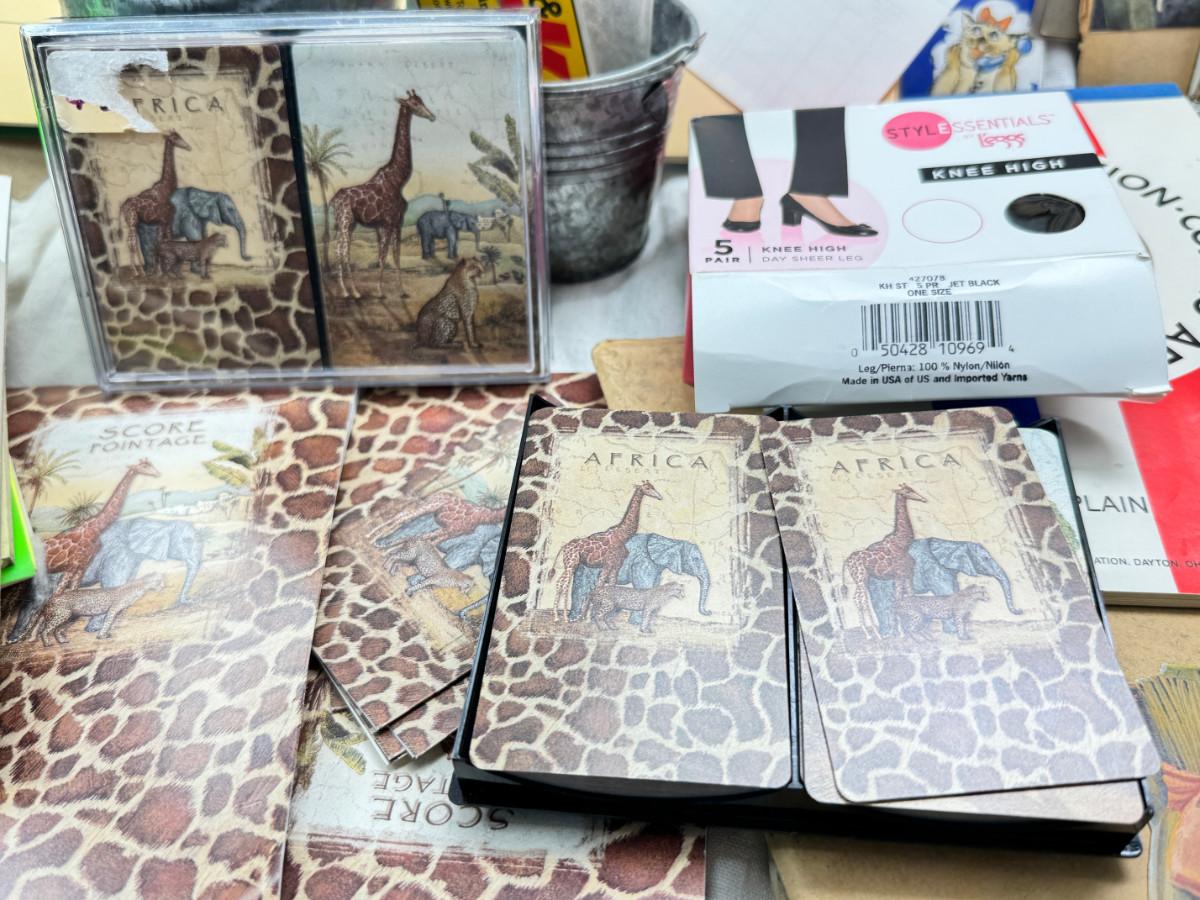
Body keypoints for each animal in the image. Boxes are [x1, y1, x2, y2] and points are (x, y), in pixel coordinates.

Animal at [9, 458, 162, 643]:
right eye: (145, 466)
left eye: (150, 464)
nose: (157, 473)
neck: (95, 528)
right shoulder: (72, 566)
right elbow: (58, 595)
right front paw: (40, 636)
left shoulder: (82, 566)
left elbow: (72, 592)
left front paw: (61, 633)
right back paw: (21, 637)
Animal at [118, 130, 191, 276]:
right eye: (175, 138)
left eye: (179, 135)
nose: (188, 146)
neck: (167, 190)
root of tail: (123, 206)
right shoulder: (165, 221)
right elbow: (165, 241)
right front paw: (164, 271)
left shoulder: (162, 223)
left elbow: (160, 242)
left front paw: (160, 270)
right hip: (132, 221)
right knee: (131, 242)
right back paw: (136, 271)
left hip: (134, 222)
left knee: (133, 242)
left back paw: (142, 270)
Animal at [329, 90, 435, 301]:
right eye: (415, 104)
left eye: (421, 101)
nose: (431, 116)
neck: (398, 180)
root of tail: (333, 201)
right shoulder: (388, 222)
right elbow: (384, 255)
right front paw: (380, 291)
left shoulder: (395, 222)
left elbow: (394, 255)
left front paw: (402, 291)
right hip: (345, 222)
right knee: (342, 250)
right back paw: (349, 291)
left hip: (347, 224)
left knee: (340, 249)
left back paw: (349, 290)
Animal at [548, 480, 664, 621]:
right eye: (647, 488)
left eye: (653, 486)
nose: (660, 497)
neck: (623, 536)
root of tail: (564, 547)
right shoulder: (607, 564)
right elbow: (599, 586)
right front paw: (587, 617)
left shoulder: (616, 566)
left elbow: (612, 586)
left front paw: (603, 616)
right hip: (571, 564)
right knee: (564, 584)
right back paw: (563, 617)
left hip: (570, 565)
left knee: (560, 582)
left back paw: (557, 615)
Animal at [841, 483, 927, 639]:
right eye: (907, 492)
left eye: (912, 489)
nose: (923, 499)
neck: (903, 544)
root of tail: (847, 561)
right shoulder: (899, 576)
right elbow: (898, 599)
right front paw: (901, 633)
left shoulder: (908, 575)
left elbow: (911, 596)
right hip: (861, 577)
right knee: (861, 599)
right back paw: (874, 634)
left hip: (863, 579)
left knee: (857, 599)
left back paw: (870, 632)